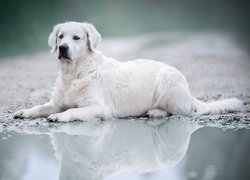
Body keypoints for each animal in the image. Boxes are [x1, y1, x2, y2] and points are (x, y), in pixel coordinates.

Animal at [13, 21, 244, 122]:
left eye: (76, 38)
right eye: (60, 36)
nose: (62, 48)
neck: (74, 72)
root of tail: (188, 92)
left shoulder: (99, 108)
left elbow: (72, 111)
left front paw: (59, 117)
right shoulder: (56, 102)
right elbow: (41, 106)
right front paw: (24, 112)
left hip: (167, 82)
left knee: (182, 111)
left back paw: (156, 111)